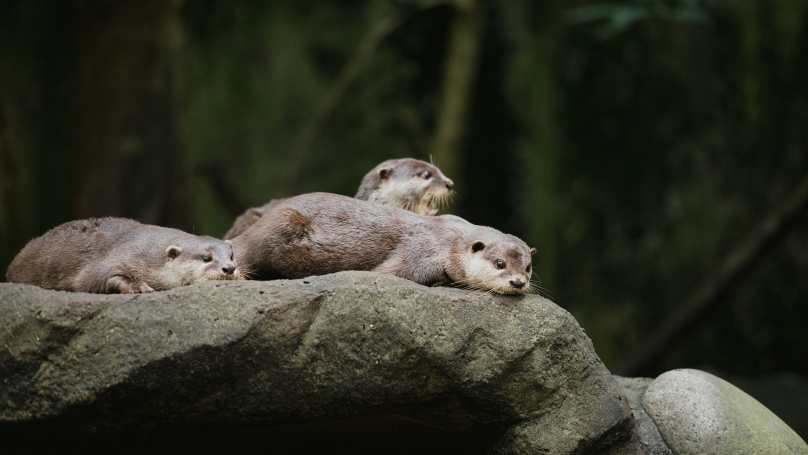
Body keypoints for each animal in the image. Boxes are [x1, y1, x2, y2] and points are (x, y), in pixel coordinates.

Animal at [6, 217, 242, 294]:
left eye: (231, 256)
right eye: (206, 258)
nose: (229, 268)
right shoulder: (118, 256)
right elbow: (95, 279)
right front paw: (139, 286)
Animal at [231, 193, 536, 295]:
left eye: (528, 267)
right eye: (500, 263)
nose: (518, 282)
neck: (448, 240)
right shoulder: (419, 250)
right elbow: (397, 272)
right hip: (279, 228)